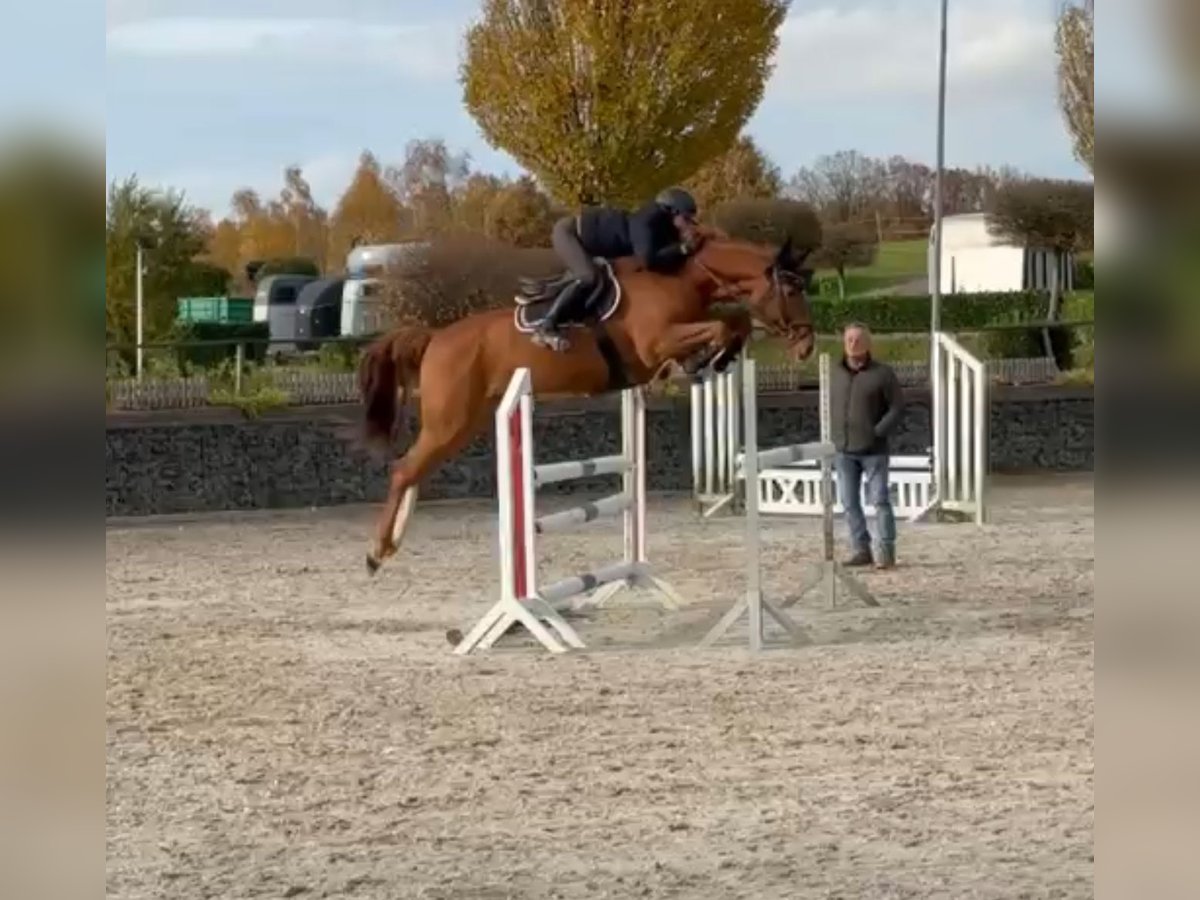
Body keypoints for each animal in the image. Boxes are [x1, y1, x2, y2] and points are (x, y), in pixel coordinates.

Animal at [356, 232, 816, 574]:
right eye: (792, 288)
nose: (808, 345)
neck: (679, 277)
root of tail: (435, 338)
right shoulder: (656, 344)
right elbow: (722, 325)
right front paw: (702, 362)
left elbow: (733, 321)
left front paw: (714, 358)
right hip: (450, 421)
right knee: (403, 470)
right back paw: (376, 552)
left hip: (464, 423)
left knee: (414, 471)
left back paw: (392, 543)